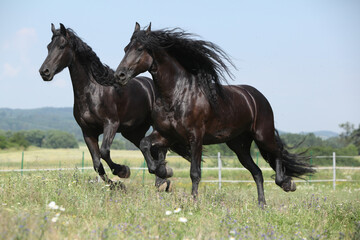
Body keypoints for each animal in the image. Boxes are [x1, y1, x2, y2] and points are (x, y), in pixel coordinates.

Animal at [112, 22, 316, 205]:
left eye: (139, 49)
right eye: (125, 48)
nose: (119, 75)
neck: (178, 94)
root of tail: (256, 97)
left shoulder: (195, 137)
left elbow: (195, 172)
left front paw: (193, 202)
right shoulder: (166, 135)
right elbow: (145, 144)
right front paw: (163, 172)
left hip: (262, 136)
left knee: (277, 152)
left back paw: (287, 183)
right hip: (239, 146)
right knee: (257, 172)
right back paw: (261, 204)